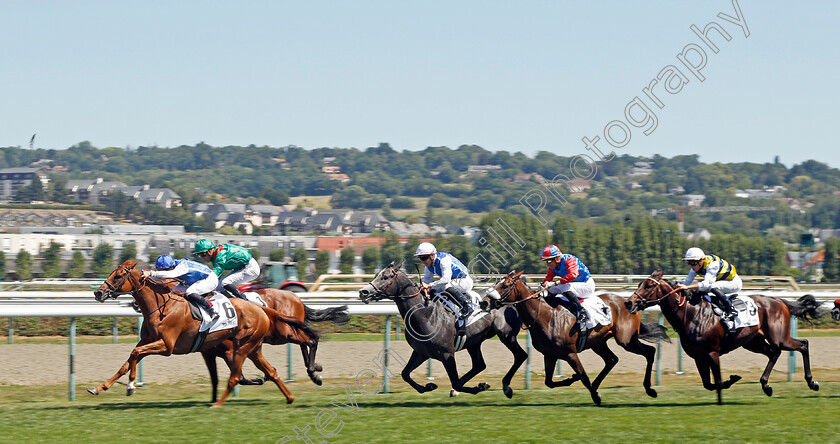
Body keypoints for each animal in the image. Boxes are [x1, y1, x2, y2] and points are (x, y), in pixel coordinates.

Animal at [89, 258, 318, 408]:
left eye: (119, 275)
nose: (98, 292)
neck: (162, 306)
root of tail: (260, 308)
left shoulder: (167, 346)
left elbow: (135, 355)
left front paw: (130, 386)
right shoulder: (149, 341)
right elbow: (128, 361)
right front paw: (100, 387)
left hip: (258, 342)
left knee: (305, 341)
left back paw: (313, 371)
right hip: (254, 347)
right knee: (271, 370)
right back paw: (289, 396)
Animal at [358, 262, 528, 398]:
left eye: (385, 277)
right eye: (376, 275)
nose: (363, 292)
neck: (425, 314)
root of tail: (512, 299)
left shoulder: (447, 354)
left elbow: (455, 381)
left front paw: (478, 387)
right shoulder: (421, 352)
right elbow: (405, 374)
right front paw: (428, 386)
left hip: (506, 335)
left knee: (520, 356)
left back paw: (506, 387)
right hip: (474, 342)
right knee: (479, 365)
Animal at [492, 268, 668, 404]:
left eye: (505, 285)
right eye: (496, 284)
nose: (487, 301)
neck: (545, 315)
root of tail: (628, 302)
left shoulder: (570, 353)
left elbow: (583, 376)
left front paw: (595, 396)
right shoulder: (550, 354)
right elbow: (549, 382)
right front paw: (575, 380)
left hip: (626, 340)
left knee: (650, 351)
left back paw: (650, 389)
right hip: (599, 342)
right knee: (612, 360)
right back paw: (597, 386)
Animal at [628, 268, 816, 404]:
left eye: (648, 286)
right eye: (639, 284)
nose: (630, 302)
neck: (691, 314)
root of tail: (780, 301)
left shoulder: (712, 352)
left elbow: (717, 382)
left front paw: (726, 391)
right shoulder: (698, 356)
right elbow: (708, 383)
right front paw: (730, 382)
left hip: (779, 338)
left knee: (803, 344)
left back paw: (811, 382)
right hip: (753, 342)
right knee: (774, 353)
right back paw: (766, 385)